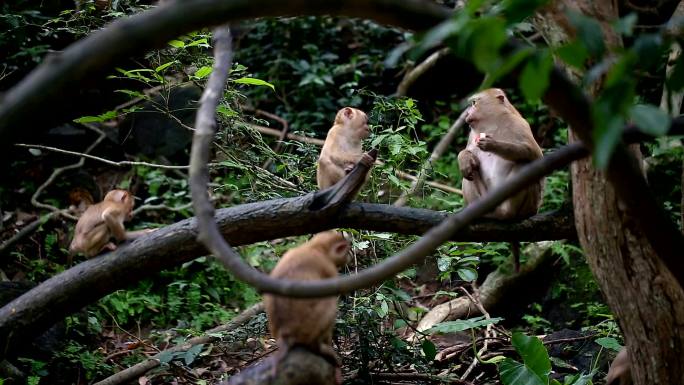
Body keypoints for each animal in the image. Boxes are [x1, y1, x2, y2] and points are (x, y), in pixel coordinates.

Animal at [456, 89, 544, 270]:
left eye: (474, 103)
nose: (468, 113)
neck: (493, 123)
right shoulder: (472, 133)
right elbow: (469, 153)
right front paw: (465, 159)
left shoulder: (520, 125)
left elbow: (534, 155)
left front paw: (493, 144)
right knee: (468, 175)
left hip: (530, 205)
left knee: (524, 165)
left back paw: (508, 213)